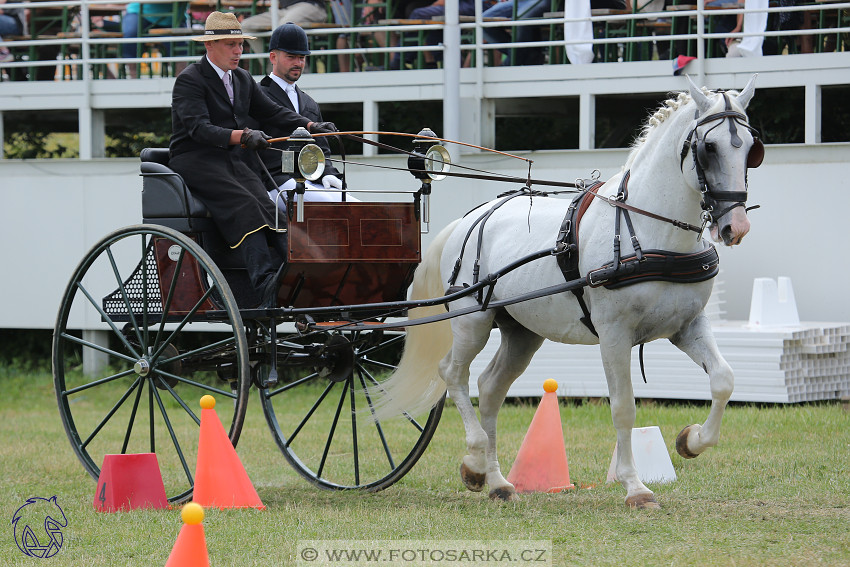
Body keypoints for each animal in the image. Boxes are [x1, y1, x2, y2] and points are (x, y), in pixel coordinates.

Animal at [374, 76, 760, 510]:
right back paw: (474, 461)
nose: (735, 227)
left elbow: (723, 380)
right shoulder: (614, 335)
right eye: (708, 148)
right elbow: (623, 408)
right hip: (472, 321)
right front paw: (635, 487)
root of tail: (467, 218)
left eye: (750, 147)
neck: (650, 230)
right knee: (453, 373)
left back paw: (496, 481)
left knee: (490, 388)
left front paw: (691, 440)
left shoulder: (687, 325)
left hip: (522, 332)